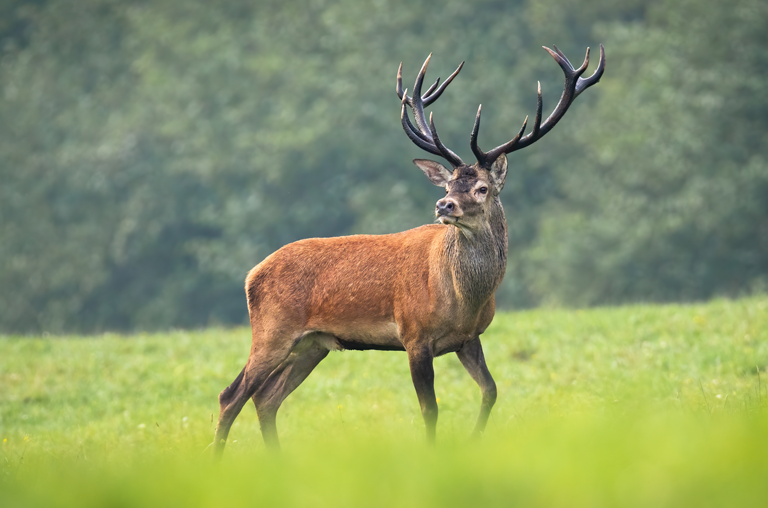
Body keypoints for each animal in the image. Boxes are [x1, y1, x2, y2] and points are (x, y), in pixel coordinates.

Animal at [213, 44, 604, 456]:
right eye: (448, 184)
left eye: (481, 188)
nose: (444, 205)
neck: (464, 297)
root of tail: (252, 274)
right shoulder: (414, 335)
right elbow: (430, 409)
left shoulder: (469, 338)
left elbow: (491, 391)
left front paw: (473, 442)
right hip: (273, 330)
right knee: (232, 394)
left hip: (312, 344)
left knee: (266, 397)